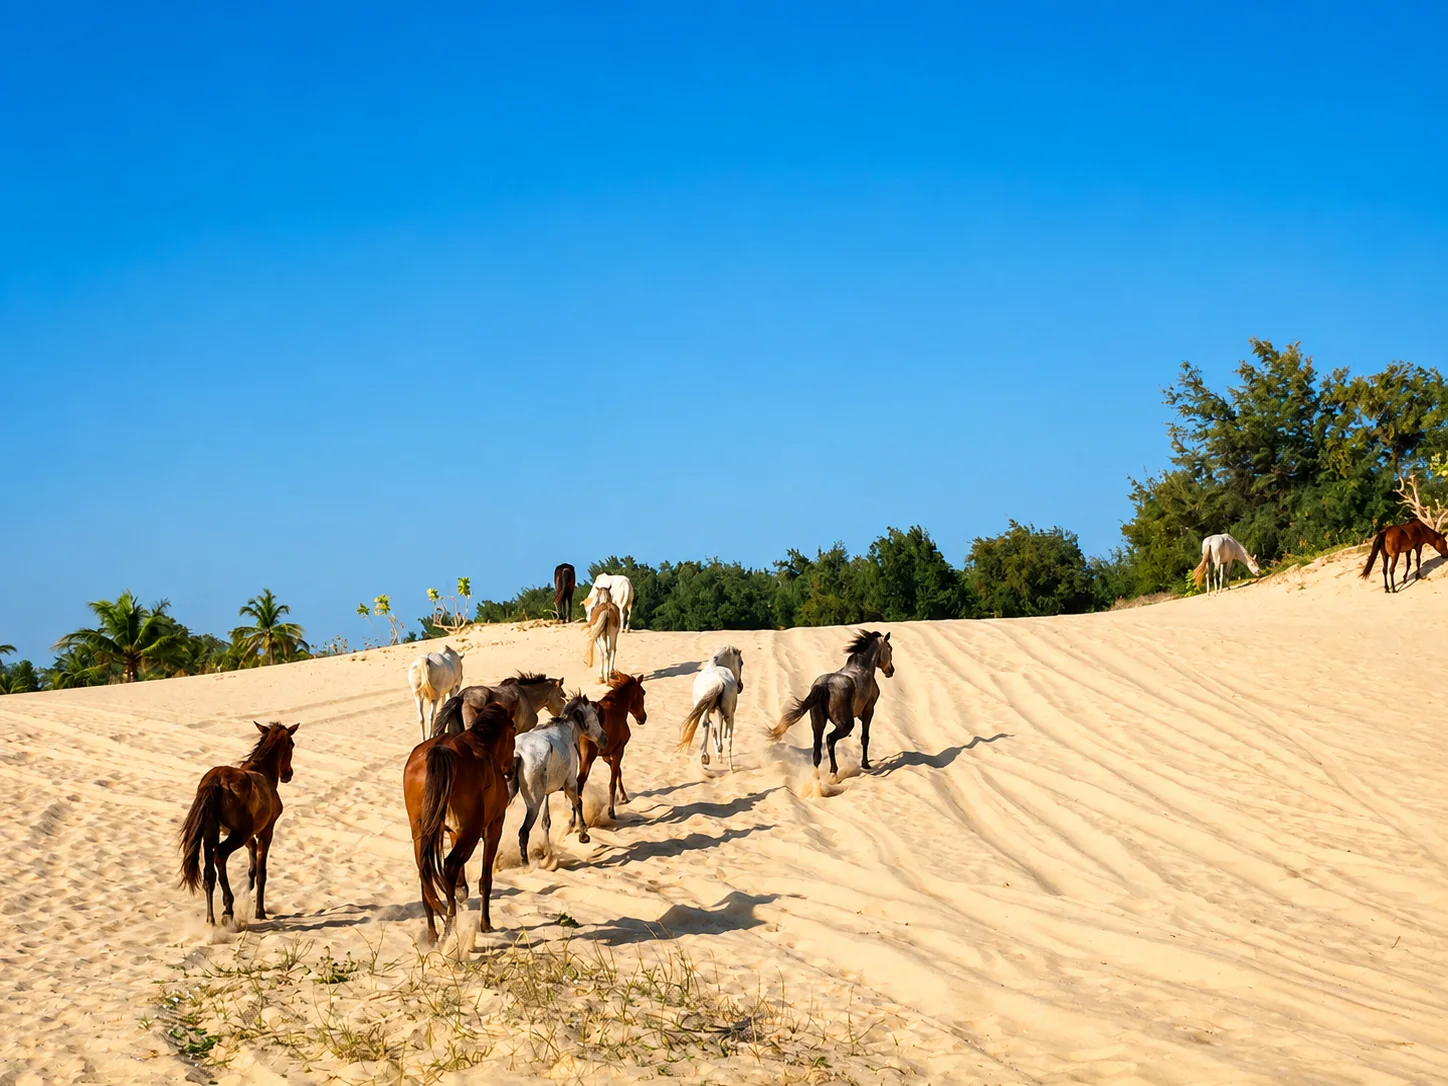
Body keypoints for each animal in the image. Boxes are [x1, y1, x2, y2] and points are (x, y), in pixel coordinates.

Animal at [178, 722, 299, 927]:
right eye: (292, 744)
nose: (288, 774)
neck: (263, 771)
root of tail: (217, 780)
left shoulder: (248, 836)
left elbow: (252, 868)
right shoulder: (266, 830)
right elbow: (261, 872)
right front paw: (260, 912)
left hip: (211, 832)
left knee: (209, 873)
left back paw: (211, 919)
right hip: (237, 835)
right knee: (220, 855)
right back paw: (228, 908)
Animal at [403, 702, 516, 943]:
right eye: (512, 727)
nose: (510, 769)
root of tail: (439, 751)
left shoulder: (455, 831)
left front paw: (461, 890)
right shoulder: (494, 827)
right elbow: (486, 879)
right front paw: (486, 923)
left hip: (421, 833)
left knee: (425, 873)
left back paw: (432, 932)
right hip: (471, 834)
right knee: (449, 865)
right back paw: (450, 925)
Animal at [511, 694, 608, 868]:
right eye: (596, 717)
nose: (605, 739)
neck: (565, 730)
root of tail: (518, 752)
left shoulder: (547, 793)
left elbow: (546, 822)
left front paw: (546, 850)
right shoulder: (570, 783)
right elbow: (578, 803)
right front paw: (583, 834)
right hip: (533, 803)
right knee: (523, 832)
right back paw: (527, 864)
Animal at [574, 672, 647, 827]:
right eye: (643, 692)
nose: (643, 718)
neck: (617, 707)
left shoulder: (606, 755)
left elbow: (618, 771)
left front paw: (624, 796)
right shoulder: (619, 750)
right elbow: (612, 781)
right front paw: (611, 811)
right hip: (587, 760)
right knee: (579, 784)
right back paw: (578, 823)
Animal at [770, 630, 895, 781]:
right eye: (890, 649)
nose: (891, 670)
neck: (862, 667)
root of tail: (824, 685)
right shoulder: (868, 710)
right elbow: (865, 738)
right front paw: (866, 764)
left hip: (817, 724)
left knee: (817, 748)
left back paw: (816, 778)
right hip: (846, 725)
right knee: (830, 739)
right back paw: (833, 772)